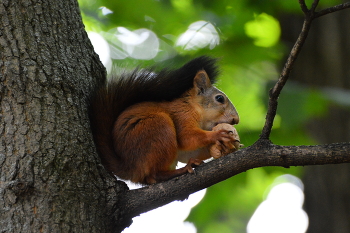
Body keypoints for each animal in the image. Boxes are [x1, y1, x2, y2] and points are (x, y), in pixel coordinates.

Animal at [89, 56, 239, 184]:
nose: (236, 119)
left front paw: (220, 148)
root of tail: (130, 168)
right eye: (219, 98)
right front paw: (218, 135)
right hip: (158, 128)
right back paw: (183, 169)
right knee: (154, 175)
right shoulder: (182, 115)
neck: (194, 107)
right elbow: (186, 137)